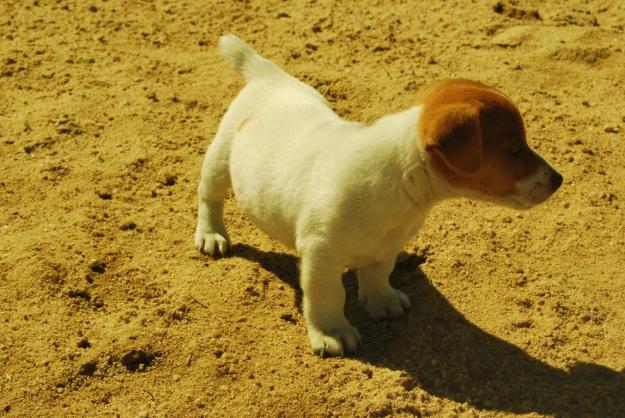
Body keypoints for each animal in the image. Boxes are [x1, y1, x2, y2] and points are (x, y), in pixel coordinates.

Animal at [194, 34, 560, 358]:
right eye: (514, 148)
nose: (559, 180)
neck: (401, 179)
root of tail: (270, 78)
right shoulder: (320, 255)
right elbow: (328, 297)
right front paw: (332, 332)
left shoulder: (387, 245)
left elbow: (378, 273)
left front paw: (381, 301)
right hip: (220, 158)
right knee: (209, 197)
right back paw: (211, 234)